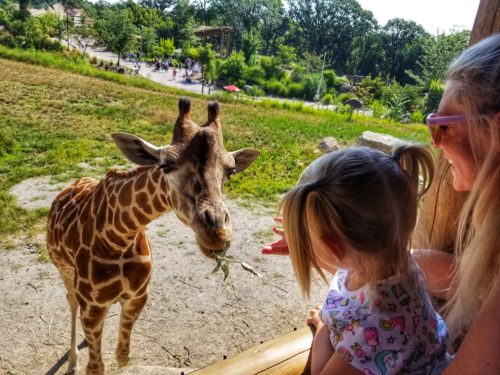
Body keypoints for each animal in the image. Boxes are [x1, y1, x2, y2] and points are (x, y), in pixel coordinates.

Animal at [46, 97, 262, 375]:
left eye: (231, 171)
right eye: (166, 165)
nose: (217, 233)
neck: (119, 235)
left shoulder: (138, 297)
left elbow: (122, 357)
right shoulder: (93, 306)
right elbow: (96, 367)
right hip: (63, 267)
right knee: (71, 301)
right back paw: (72, 360)